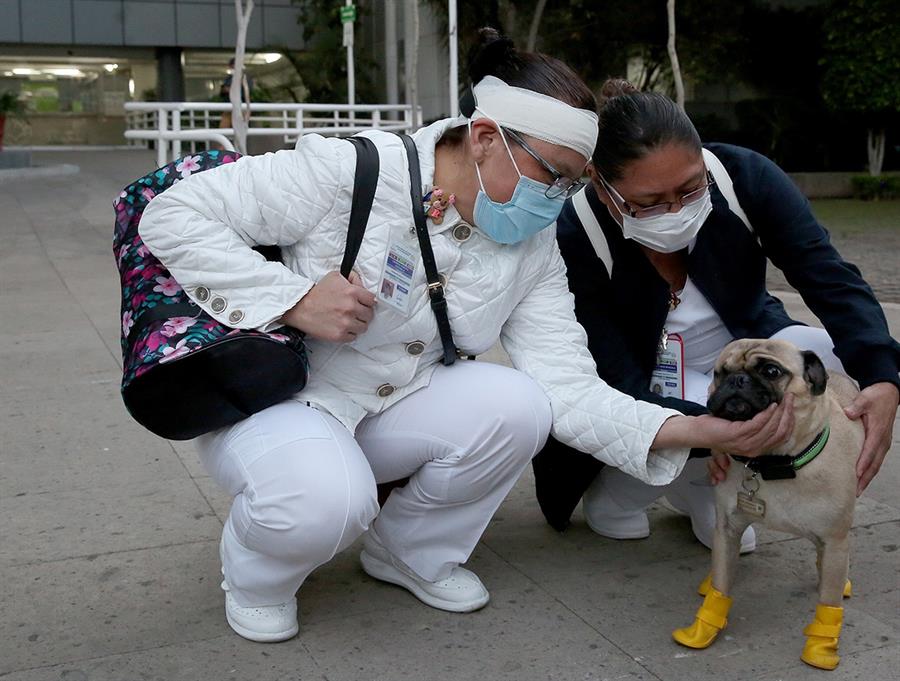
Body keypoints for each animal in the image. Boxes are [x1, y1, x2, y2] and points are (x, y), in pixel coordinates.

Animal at [672, 338, 863, 670]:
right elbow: (722, 582)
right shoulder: (728, 528)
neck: (771, 463)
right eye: (721, 372)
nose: (738, 379)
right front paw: (704, 626)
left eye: (771, 371)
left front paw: (821, 648)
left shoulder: (835, 538)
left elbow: (828, 602)